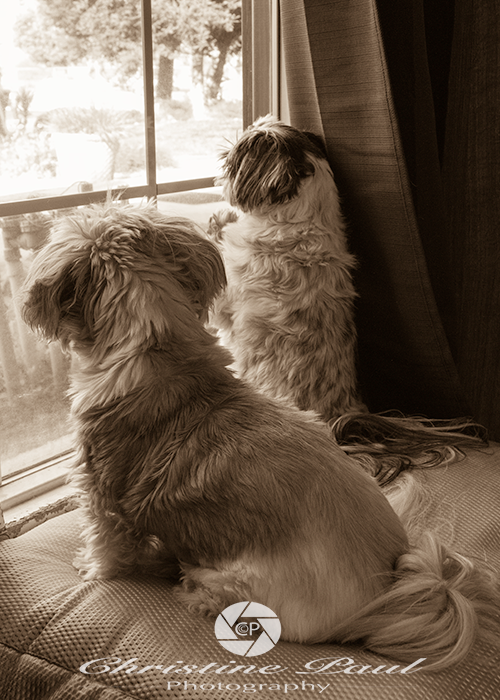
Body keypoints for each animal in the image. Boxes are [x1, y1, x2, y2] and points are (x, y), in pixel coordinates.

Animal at [21, 202, 500, 672]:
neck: (155, 346)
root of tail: (386, 596)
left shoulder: (100, 492)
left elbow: (107, 545)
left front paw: (91, 569)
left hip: (241, 580)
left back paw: (188, 585)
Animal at [209, 116, 486, 486]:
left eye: (235, 157)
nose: (223, 157)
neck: (303, 224)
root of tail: (336, 422)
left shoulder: (227, 297)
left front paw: (215, 223)